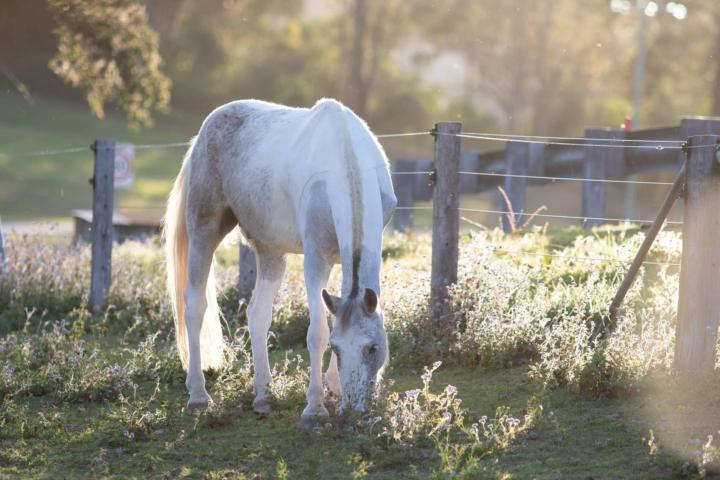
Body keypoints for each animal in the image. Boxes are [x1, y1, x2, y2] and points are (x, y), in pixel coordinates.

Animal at [164, 98, 397, 429]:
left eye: (373, 348)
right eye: (337, 348)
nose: (353, 409)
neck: (345, 165)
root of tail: (206, 129)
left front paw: (334, 388)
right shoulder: (316, 260)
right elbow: (317, 333)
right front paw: (314, 409)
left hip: (270, 252)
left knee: (257, 315)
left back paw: (263, 395)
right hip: (204, 232)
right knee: (195, 308)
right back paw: (198, 396)